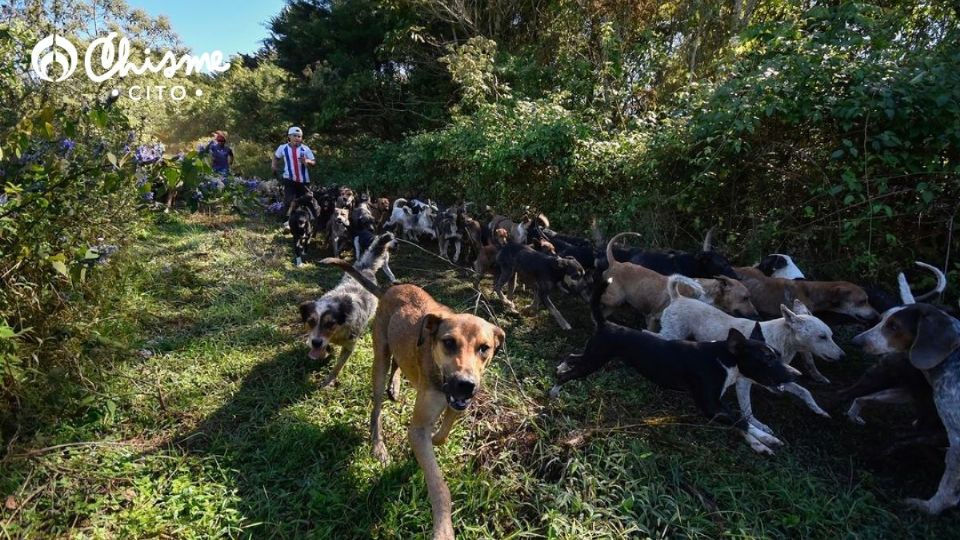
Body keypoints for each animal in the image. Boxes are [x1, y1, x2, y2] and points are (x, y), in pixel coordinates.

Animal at [296, 232, 394, 388]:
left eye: (330, 323)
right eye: (311, 321)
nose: (315, 343)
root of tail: (365, 268)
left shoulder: (349, 346)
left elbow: (338, 366)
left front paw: (328, 381)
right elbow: (325, 347)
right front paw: (325, 352)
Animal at [322, 258, 506, 540]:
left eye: (484, 348)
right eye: (448, 342)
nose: (466, 385)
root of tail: (389, 290)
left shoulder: (456, 407)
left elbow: (442, 436)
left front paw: (433, 439)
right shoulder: (418, 427)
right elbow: (440, 487)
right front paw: (443, 527)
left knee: (399, 362)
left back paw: (396, 384)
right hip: (379, 358)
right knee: (376, 407)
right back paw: (378, 443)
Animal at [552, 276, 800, 454]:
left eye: (778, 355)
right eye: (767, 358)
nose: (796, 374)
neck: (723, 358)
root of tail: (606, 324)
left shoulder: (717, 407)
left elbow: (739, 424)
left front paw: (760, 444)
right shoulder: (710, 406)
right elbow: (741, 420)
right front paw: (768, 439)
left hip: (593, 355)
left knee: (571, 357)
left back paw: (561, 368)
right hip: (594, 361)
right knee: (568, 375)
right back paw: (554, 390)